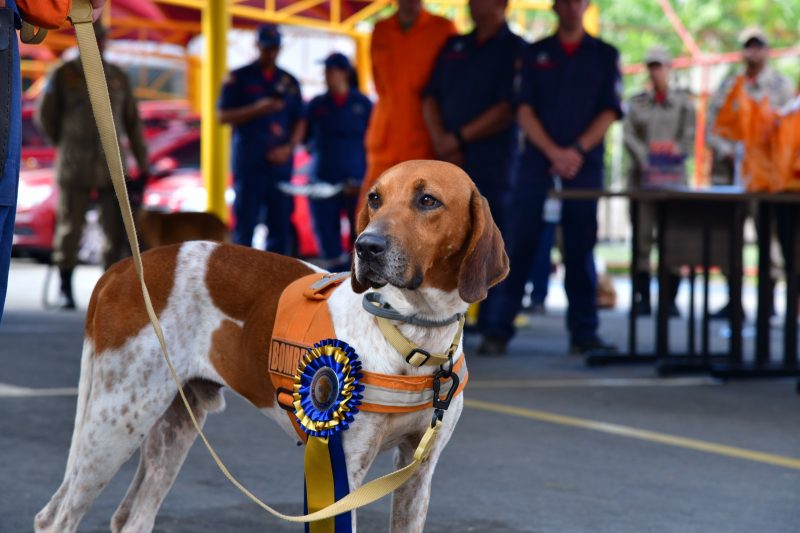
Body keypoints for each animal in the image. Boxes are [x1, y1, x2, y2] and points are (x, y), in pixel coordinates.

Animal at [34, 161, 510, 532]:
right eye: (375, 198)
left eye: (428, 200)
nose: (365, 246)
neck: (412, 336)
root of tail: (121, 268)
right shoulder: (343, 470)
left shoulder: (417, 470)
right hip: (118, 420)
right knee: (56, 517)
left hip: (174, 425)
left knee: (131, 518)